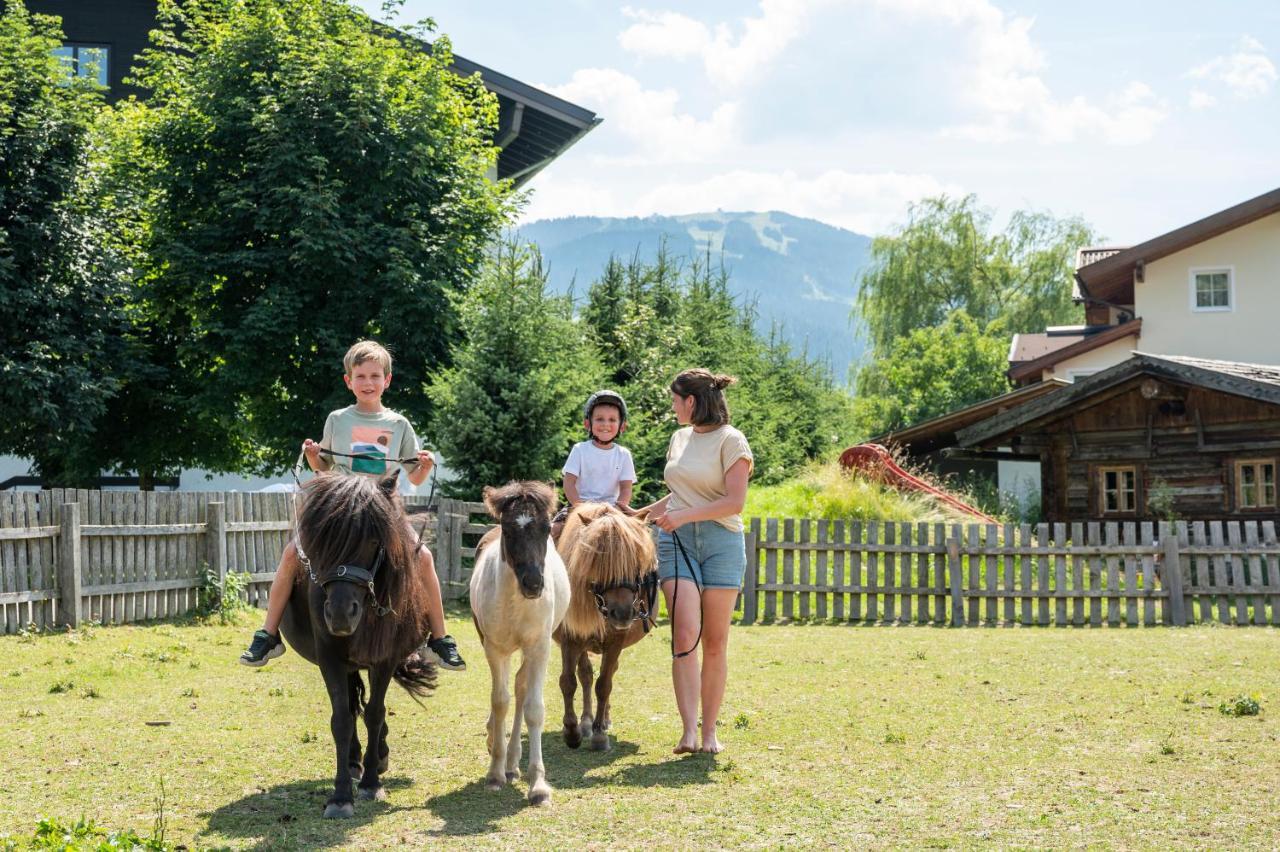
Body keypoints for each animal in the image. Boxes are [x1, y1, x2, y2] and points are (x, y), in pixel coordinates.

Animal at [277, 470, 437, 818]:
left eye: (374, 542)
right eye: (321, 543)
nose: (339, 613)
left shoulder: (385, 660)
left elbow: (375, 713)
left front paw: (371, 783)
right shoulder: (330, 659)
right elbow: (341, 720)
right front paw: (340, 796)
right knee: (350, 708)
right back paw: (354, 760)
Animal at [468, 481, 568, 798]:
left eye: (546, 529)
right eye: (508, 529)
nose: (534, 584)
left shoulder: (539, 647)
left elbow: (533, 708)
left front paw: (538, 786)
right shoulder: (495, 648)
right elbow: (500, 701)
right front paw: (495, 773)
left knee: (522, 688)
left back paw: (513, 762)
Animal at [552, 501, 655, 747]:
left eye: (636, 562)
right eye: (597, 561)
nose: (623, 613)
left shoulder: (615, 641)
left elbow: (604, 684)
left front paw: (599, 733)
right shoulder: (571, 638)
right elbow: (569, 682)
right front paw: (572, 731)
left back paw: (602, 721)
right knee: (585, 675)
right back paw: (586, 722)